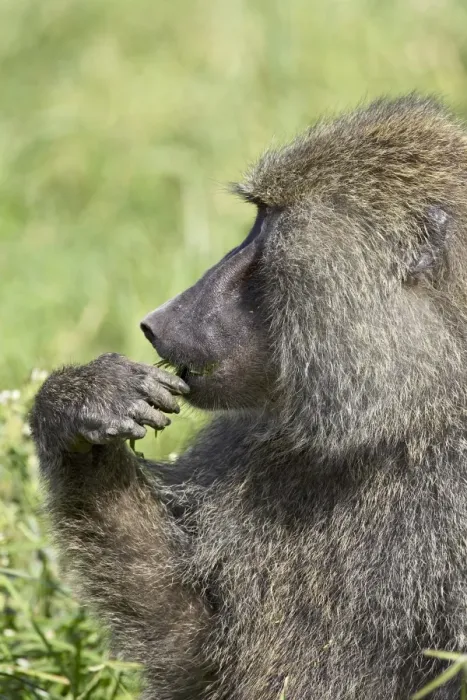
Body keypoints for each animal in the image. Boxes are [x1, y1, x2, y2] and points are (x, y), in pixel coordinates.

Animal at [30, 94, 467, 699]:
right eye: (256, 216)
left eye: (270, 227)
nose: (158, 322)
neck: (415, 419)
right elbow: (197, 645)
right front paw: (84, 406)